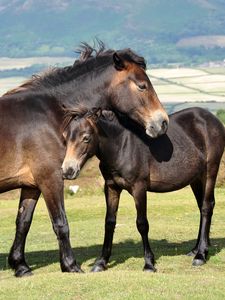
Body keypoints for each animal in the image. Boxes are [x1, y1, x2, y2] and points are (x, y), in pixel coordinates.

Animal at [0, 42, 168, 276]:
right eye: (142, 86)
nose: (162, 122)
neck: (51, 113)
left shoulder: (31, 183)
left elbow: (23, 222)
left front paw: (21, 266)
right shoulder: (51, 178)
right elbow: (61, 223)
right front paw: (70, 265)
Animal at [61, 106, 225, 270]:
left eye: (86, 137)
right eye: (65, 137)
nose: (68, 170)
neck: (122, 145)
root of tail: (211, 118)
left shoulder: (139, 188)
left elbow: (142, 223)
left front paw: (149, 263)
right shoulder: (112, 187)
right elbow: (109, 222)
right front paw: (101, 262)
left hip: (210, 171)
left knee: (206, 207)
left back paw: (201, 255)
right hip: (195, 178)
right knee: (201, 207)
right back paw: (196, 249)